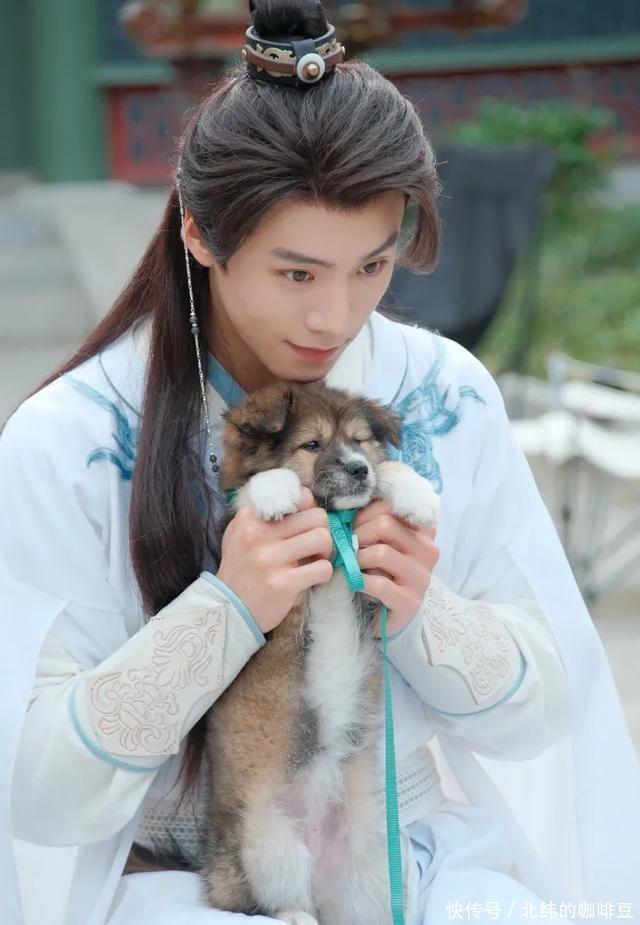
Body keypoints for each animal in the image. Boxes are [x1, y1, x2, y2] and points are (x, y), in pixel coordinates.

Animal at [198, 380, 439, 925]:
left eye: (360, 442)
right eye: (311, 445)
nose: (357, 468)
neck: (335, 529)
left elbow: (390, 475)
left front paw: (416, 494)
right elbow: (254, 488)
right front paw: (276, 492)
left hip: (375, 864)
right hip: (267, 844)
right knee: (274, 901)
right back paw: (294, 915)